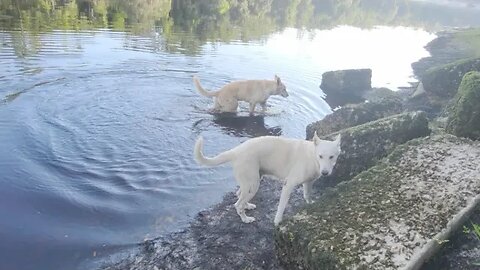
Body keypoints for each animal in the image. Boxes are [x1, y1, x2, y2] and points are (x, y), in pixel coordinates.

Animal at [193, 132, 344, 225]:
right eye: (320, 156)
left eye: (332, 157)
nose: (325, 173)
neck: (312, 155)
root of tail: (235, 151)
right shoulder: (288, 185)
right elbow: (281, 207)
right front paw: (277, 221)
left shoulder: (308, 183)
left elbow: (307, 195)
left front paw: (311, 203)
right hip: (253, 184)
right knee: (237, 204)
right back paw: (245, 219)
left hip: (251, 182)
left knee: (239, 195)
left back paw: (247, 206)